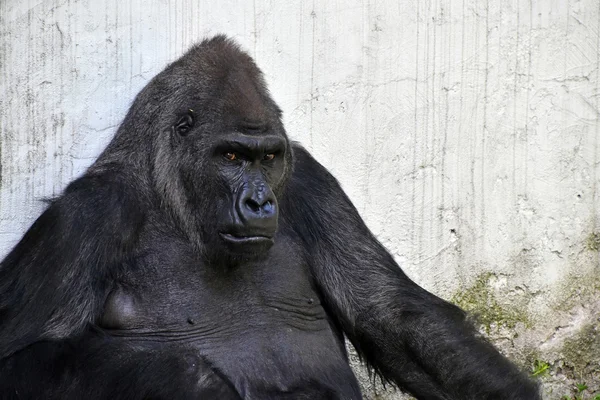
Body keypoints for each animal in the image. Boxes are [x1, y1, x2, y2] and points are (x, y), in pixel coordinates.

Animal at [0, 36, 540, 398]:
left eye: (268, 158)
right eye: (231, 157)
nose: (259, 203)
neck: (174, 201)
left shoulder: (310, 183)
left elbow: (392, 315)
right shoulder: (83, 219)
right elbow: (18, 357)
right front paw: (191, 381)